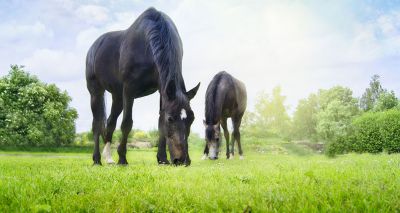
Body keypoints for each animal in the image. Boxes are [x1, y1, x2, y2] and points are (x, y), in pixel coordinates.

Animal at [86, 7, 200, 166]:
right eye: (171, 119)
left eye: (192, 118)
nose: (182, 160)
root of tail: (94, 47)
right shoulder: (129, 90)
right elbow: (127, 123)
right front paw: (122, 158)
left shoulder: (162, 91)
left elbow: (159, 123)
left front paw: (162, 159)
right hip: (96, 93)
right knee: (96, 124)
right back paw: (97, 159)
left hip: (117, 96)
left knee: (110, 122)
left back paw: (108, 158)